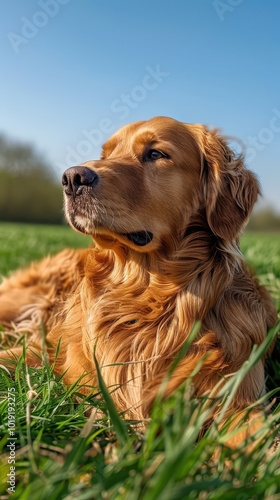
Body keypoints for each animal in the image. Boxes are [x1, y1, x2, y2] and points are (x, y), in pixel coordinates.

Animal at [0, 118, 276, 450]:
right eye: (105, 155)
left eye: (155, 153)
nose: (71, 178)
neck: (147, 295)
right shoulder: (49, 352)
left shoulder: (240, 397)